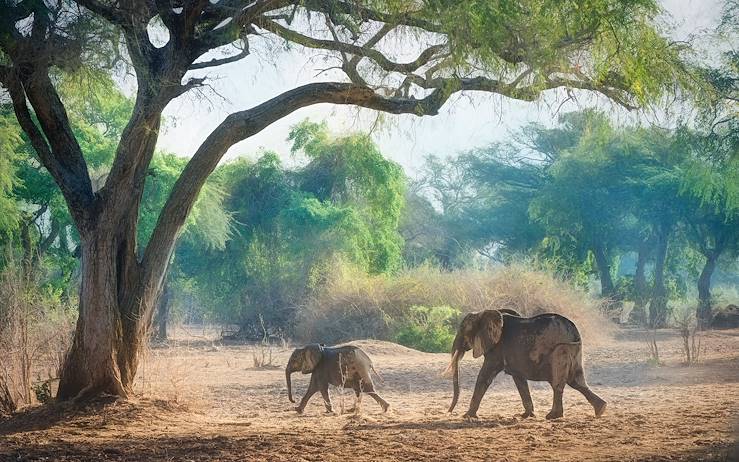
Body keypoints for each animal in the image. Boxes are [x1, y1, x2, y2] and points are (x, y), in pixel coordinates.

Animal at [446, 308, 608, 420]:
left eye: (463, 331)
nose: (449, 412)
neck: (483, 313)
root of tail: (575, 332)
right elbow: (520, 380)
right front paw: (525, 415)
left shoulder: (496, 349)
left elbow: (484, 377)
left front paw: (467, 416)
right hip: (574, 350)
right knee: (577, 381)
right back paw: (601, 410)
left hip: (561, 349)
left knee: (559, 383)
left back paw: (552, 416)